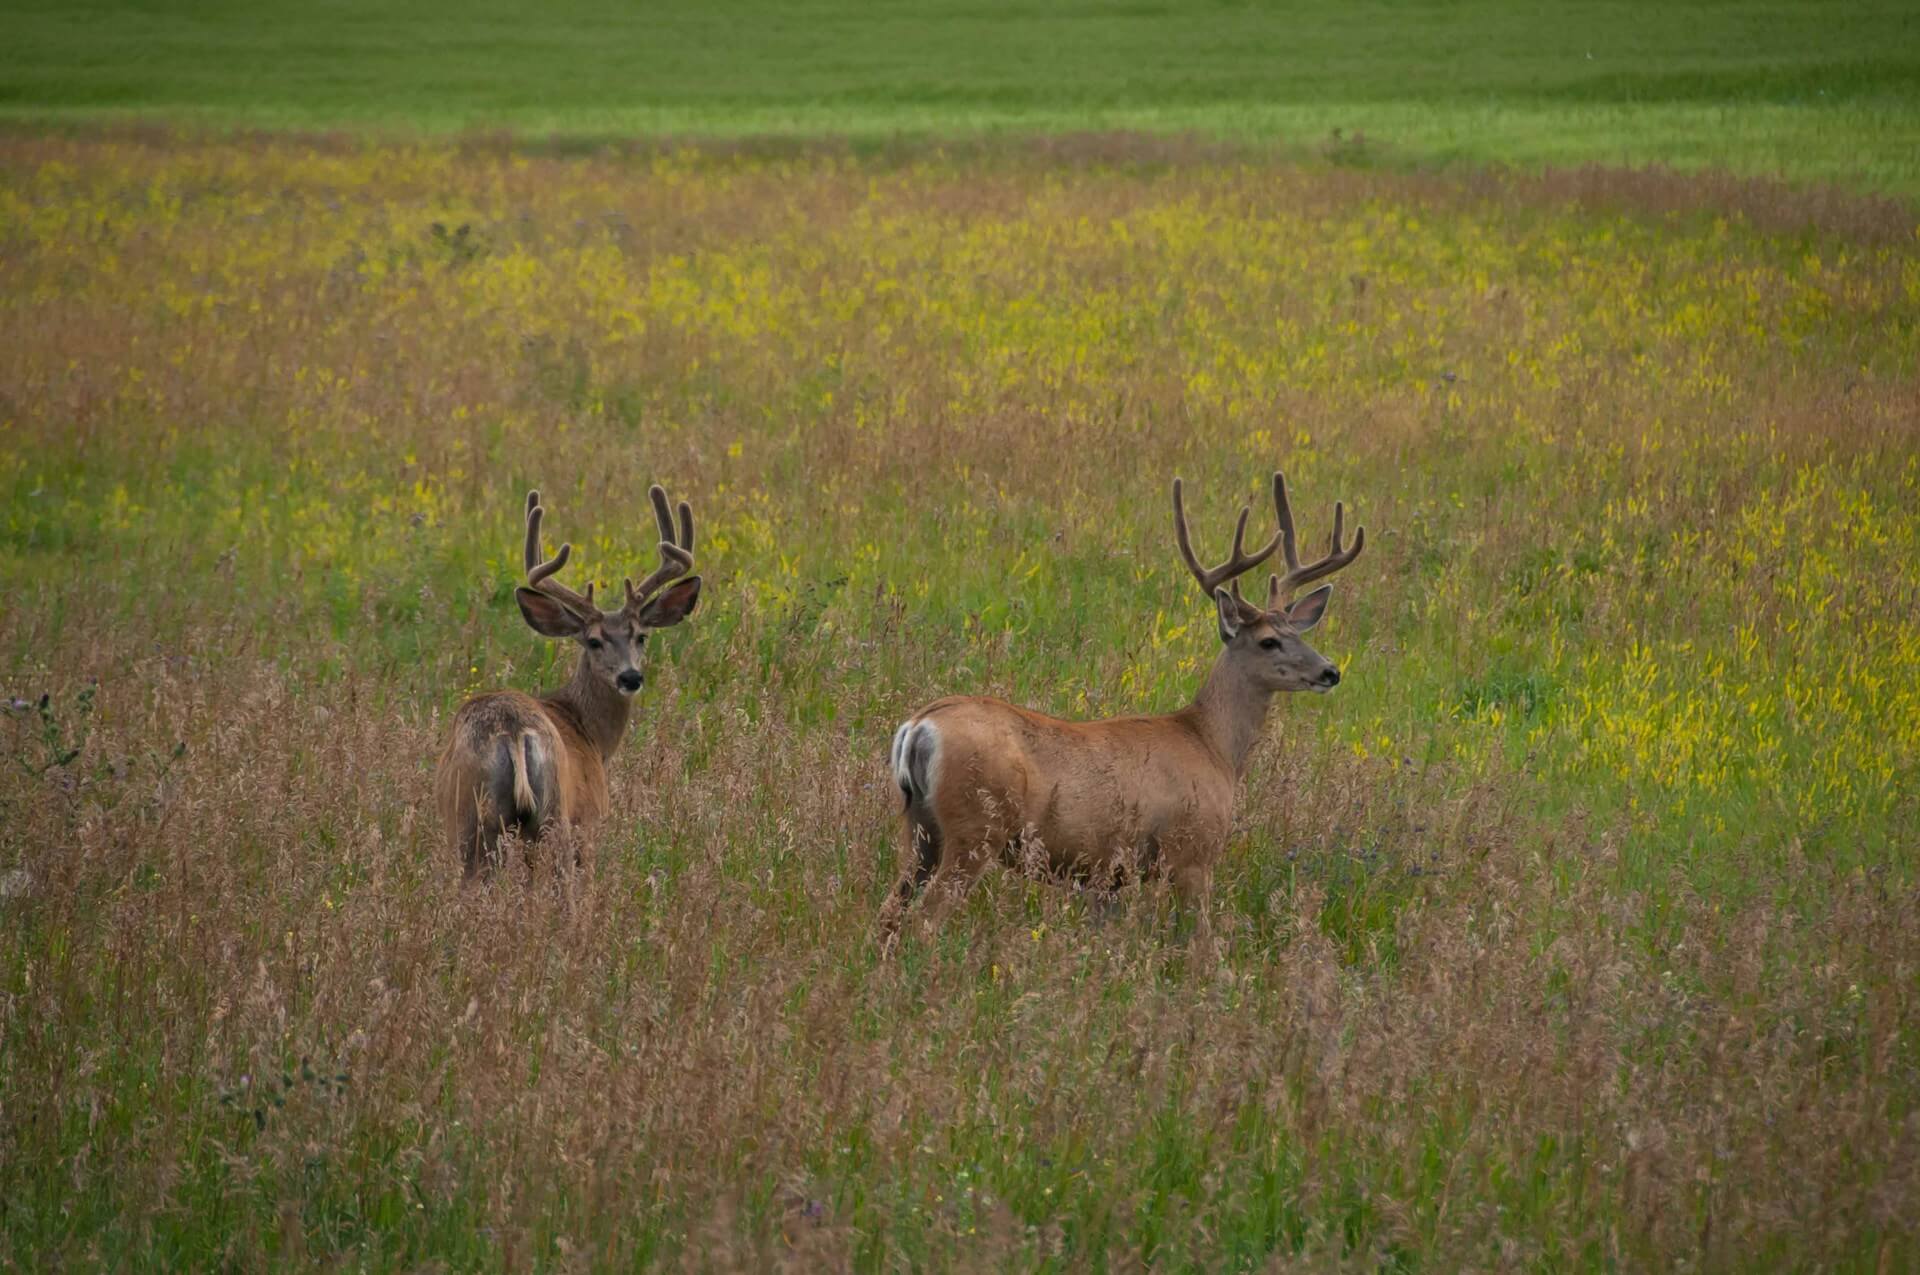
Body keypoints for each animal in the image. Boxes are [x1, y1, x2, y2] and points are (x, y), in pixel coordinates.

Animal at [434, 485, 701, 877]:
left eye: (641, 636)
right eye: (593, 641)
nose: (631, 676)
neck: (591, 734)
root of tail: (513, 729)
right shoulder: (589, 816)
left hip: (470, 819)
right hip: (556, 815)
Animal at [878, 468, 1364, 951]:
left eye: (1299, 633)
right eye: (1268, 641)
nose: (1330, 671)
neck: (1214, 746)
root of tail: (919, 726)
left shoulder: (1108, 874)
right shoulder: (1192, 852)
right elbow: (1200, 943)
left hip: (920, 830)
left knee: (889, 912)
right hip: (975, 827)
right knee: (925, 920)